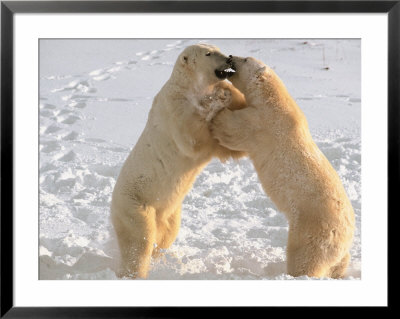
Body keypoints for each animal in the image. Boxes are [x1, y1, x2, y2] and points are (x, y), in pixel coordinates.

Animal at [110, 43, 247, 278]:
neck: (187, 87)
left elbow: (228, 146)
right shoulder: (175, 108)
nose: (229, 58)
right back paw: (135, 271)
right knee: (140, 239)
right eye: (208, 53)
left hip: (170, 211)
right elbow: (192, 139)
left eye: (217, 47)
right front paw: (218, 98)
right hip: (135, 203)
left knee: (167, 235)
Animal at [211, 57, 354, 280]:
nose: (231, 56)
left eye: (245, 59)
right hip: (338, 250)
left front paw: (220, 108)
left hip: (311, 231)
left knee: (304, 259)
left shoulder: (262, 122)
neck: (273, 99)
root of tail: (346, 236)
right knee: (339, 263)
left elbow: (235, 129)